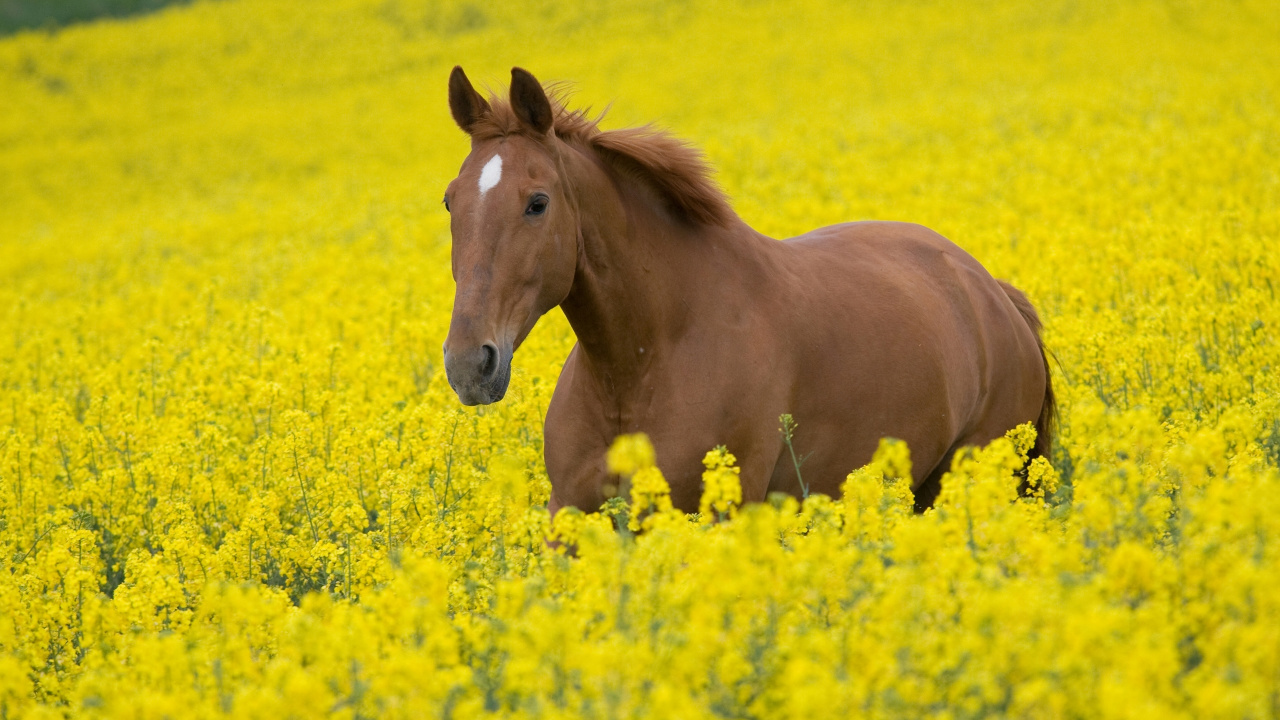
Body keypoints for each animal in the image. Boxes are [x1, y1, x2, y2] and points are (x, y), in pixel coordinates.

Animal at [441, 66, 1055, 515]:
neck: (641, 364)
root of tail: (992, 293)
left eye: (537, 202)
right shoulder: (569, 515)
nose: (470, 364)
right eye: (450, 200)